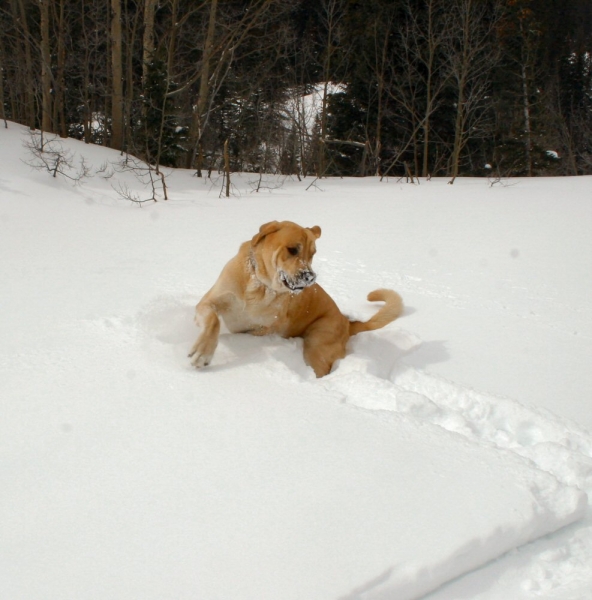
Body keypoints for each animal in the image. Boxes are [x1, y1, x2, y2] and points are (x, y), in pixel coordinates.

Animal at [188, 220, 402, 378]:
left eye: (312, 254)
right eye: (292, 249)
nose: (310, 277)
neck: (260, 285)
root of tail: (347, 323)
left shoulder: (265, 328)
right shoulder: (209, 302)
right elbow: (213, 322)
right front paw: (202, 352)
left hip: (317, 344)